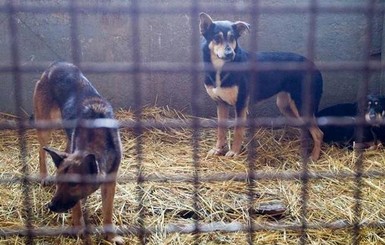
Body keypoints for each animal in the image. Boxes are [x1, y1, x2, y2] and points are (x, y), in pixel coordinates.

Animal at [33, 62, 123, 244]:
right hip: (46, 124)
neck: (95, 141)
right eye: (59, 182)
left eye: (73, 185)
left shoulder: (110, 181)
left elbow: (108, 211)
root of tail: (56, 65)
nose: (50, 206)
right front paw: (78, 228)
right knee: (41, 150)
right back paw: (44, 175)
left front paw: (110, 236)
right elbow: (77, 208)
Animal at [200, 12, 322, 160]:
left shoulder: (241, 104)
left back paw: (314, 157)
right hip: (286, 106)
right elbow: (220, 130)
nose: (230, 54)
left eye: (232, 38)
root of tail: (315, 67)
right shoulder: (221, 103)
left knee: (319, 133)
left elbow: (238, 131)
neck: (220, 69)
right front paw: (218, 149)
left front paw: (234, 152)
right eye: (216, 38)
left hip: (302, 106)